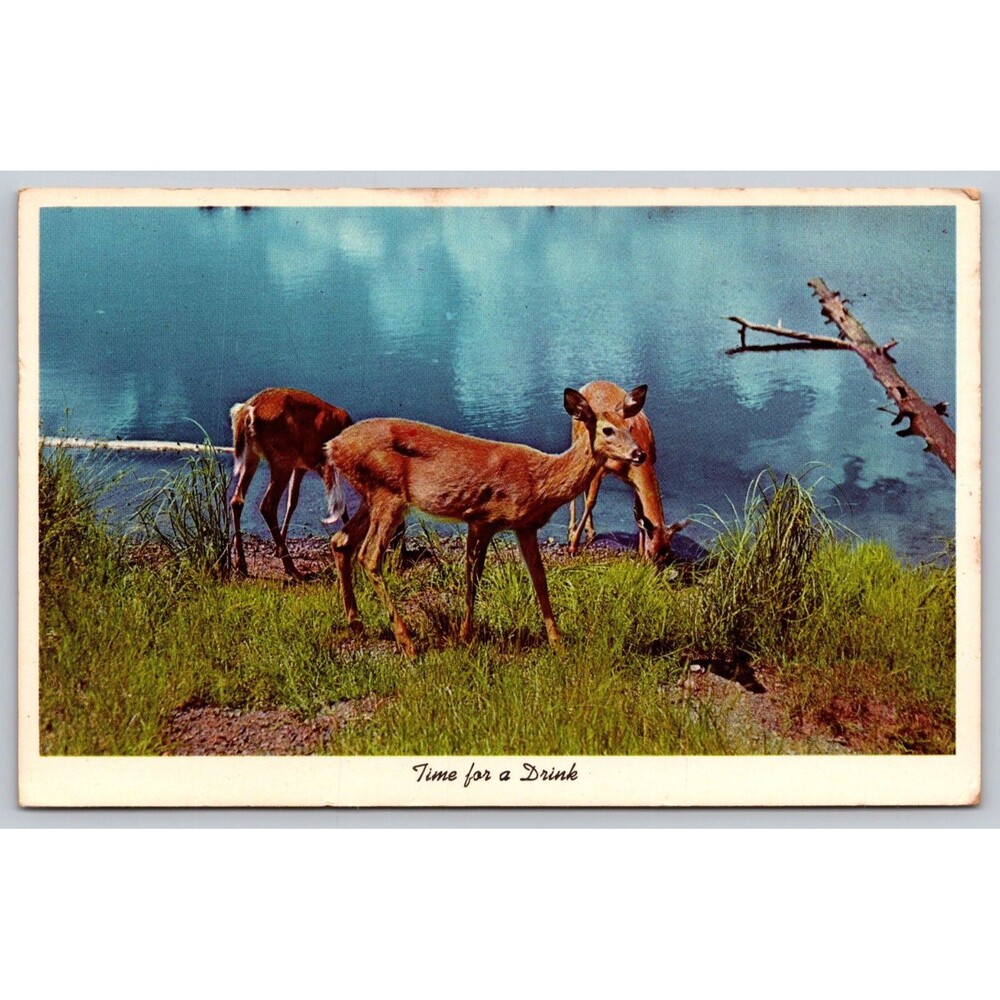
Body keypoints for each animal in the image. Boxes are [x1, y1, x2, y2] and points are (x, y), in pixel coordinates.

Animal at [229, 387, 353, 580]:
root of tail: (248, 411)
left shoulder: (300, 465)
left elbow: (292, 502)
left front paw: (278, 548)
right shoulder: (322, 464)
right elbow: (341, 505)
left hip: (253, 456)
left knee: (237, 500)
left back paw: (242, 565)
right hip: (282, 458)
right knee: (267, 505)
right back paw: (292, 568)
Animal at [323, 385, 650, 658]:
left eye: (630, 427)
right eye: (607, 430)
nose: (639, 453)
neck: (539, 480)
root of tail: (332, 446)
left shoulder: (524, 526)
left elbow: (539, 580)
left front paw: (557, 642)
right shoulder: (482, 518)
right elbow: (474, 576)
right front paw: (466, 635)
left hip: (371, 494)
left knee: (340, 541)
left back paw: (356, 623)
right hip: (387, 492)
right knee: (368, 555)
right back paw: (408, 644)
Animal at [567, 380, 689, 566]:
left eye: (668, 555)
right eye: (652, 553)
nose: (650, 570)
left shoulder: (635, 479)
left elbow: (638, 512)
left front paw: (638, 551)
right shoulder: (601, 467)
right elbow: (591, 502)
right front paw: (573, 547)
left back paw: (590, 531)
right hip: (576, 439)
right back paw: (571, 532)